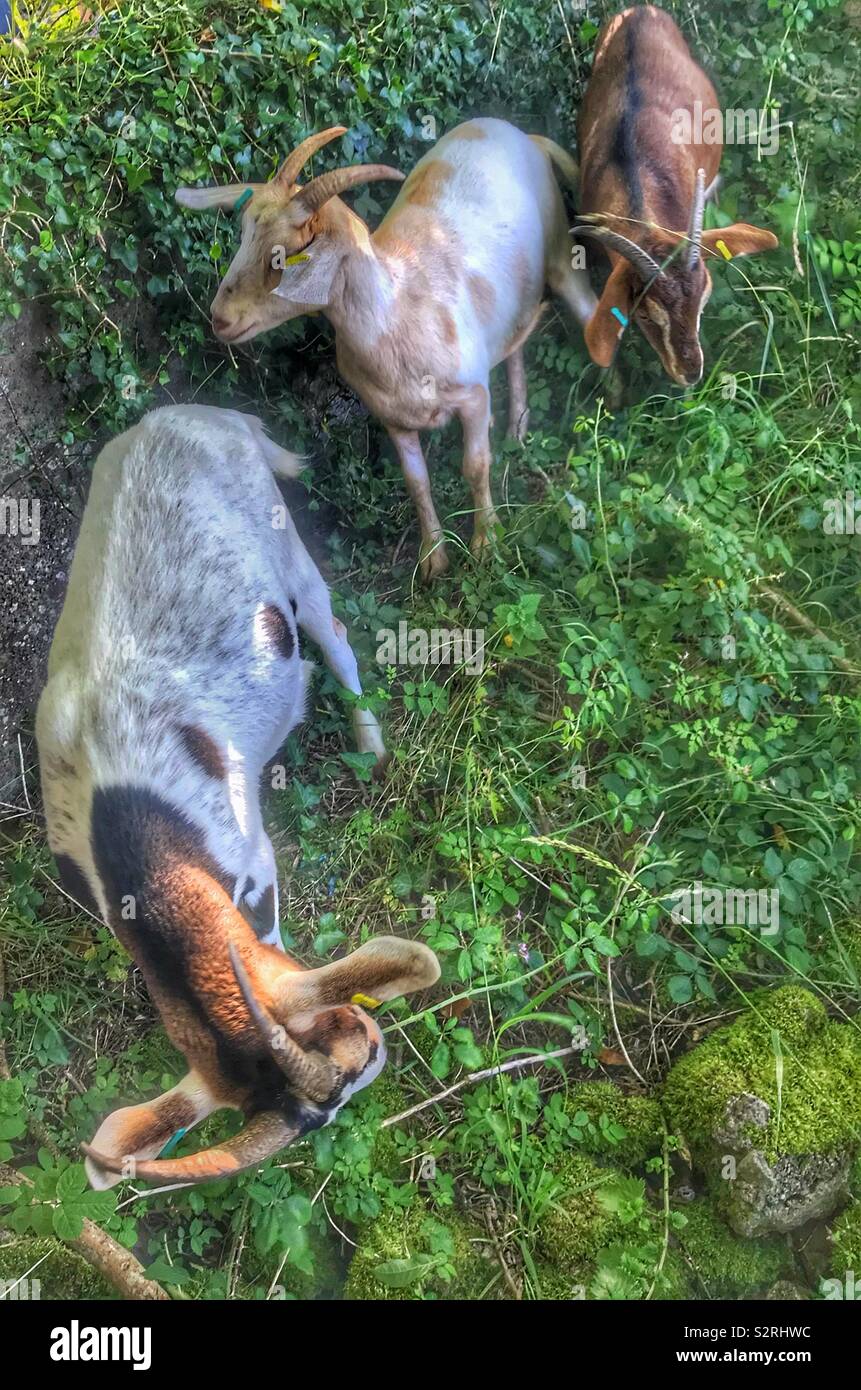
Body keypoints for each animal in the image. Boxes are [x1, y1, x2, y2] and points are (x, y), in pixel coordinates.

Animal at [35, 404, 439, 1187]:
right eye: (345, 1057)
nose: (376, 1050)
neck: (136, 842)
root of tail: (200, 414)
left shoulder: (252, 860)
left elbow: (268, 933)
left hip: (282, 541)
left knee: (329, 625)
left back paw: (369, 741)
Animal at [176, 120, 597, 580]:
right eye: (244, 236)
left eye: (283, 256)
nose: (220, 318)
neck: (399, 312)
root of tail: (515, 132)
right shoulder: (393, 417)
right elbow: (417, 481)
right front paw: (433, 559)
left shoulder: (472, 396)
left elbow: (475, 465)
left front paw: (487, 543)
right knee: (516, 343)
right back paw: (517, 429)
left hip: (561, 255)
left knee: (588, 312)